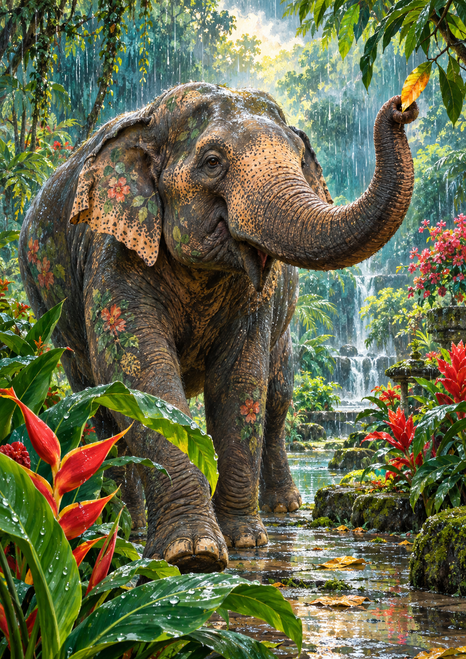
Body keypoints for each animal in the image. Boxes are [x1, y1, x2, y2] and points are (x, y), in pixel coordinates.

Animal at [19, 83, 418, 573]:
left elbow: (240, 379)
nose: (402, 107)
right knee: (94, 401)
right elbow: (137, 372)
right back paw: (124, 526)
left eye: (298, 158)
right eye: (212, 162)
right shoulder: (112, 248)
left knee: (278, 394)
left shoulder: (254, 294)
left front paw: (244, 541)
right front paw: (193, 554)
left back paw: (284, 508)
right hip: (53, 312)